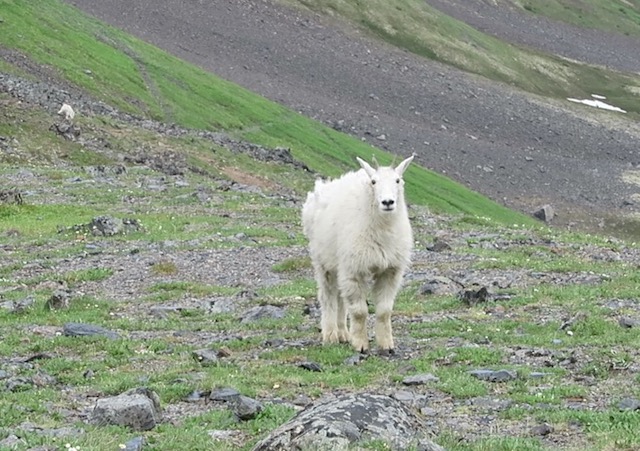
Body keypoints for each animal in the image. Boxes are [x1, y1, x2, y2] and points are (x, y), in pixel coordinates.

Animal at [302, 155, 416, 354]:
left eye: (397, 180)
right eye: (373, 181)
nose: (388, 202)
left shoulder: (390, 271)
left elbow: (384, 310)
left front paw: (386, 344)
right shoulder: (354, 269)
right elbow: (359, 311)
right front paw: (360, 344)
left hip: (340, 266)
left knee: (340, 298)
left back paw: (343, 333)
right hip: (323, 261)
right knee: (328, 296)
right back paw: (330, 335)